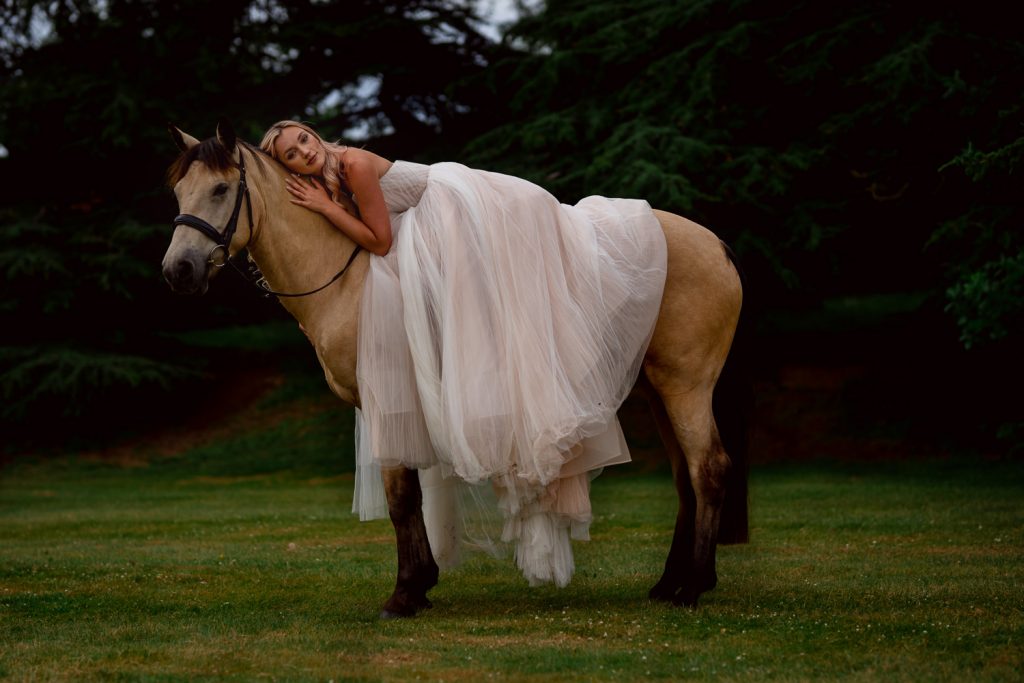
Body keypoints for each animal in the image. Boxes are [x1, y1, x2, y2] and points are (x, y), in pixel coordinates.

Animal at [161, 122, 753, 618]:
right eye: (179, 193)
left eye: (221, 190)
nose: (178, 271)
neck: (349, 277)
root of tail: (717, 245)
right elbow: (416, 498)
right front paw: (421, 584)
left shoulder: (389, 403)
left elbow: (402, 499)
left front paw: (404, 594)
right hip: (657, 389)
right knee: (684, 478)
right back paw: (670, 584)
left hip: (686, 387)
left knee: (708, 469)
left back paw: (692, 587)